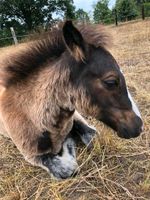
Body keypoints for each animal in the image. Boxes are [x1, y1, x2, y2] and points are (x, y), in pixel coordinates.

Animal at [0, 21, 143, 179]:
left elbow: (92, 136)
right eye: (111, 82)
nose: (139, 126)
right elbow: (67, 168)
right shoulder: (31, 154)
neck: (31, 116)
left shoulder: (76, 116)